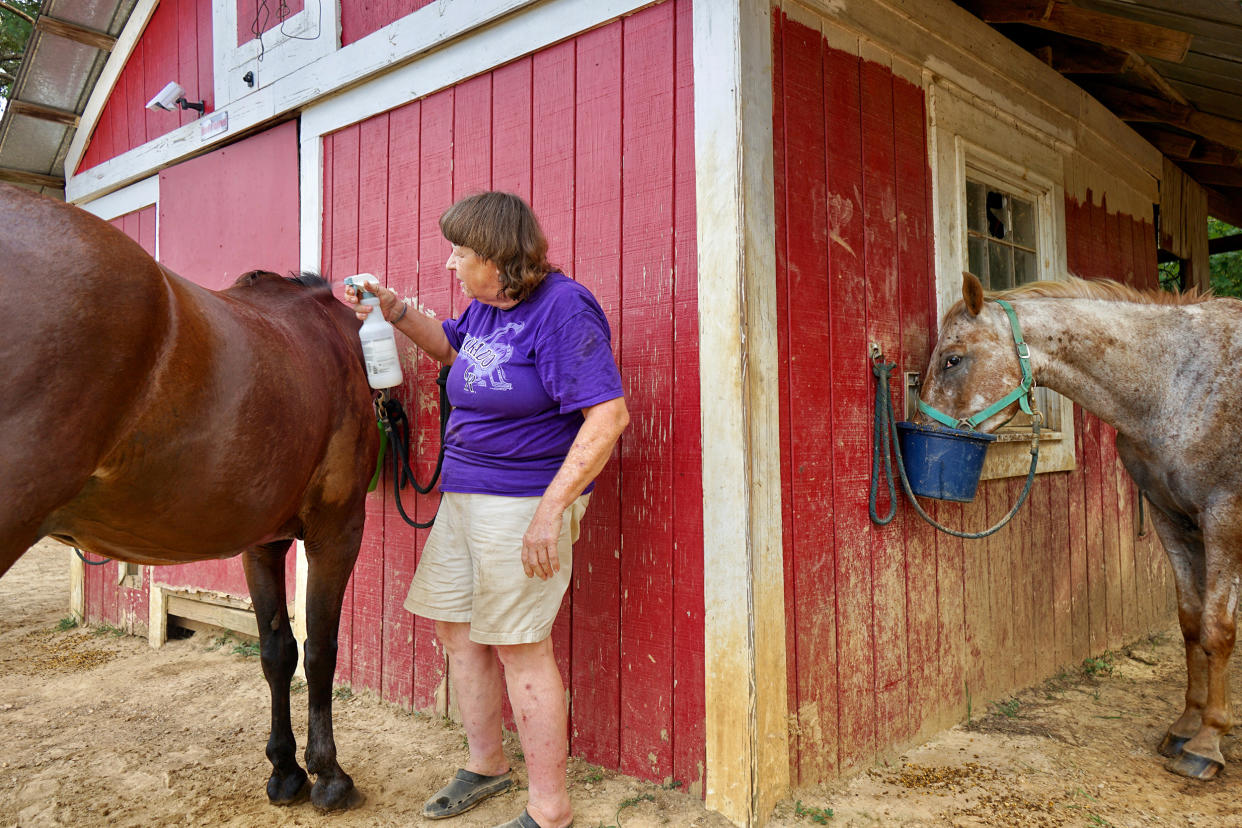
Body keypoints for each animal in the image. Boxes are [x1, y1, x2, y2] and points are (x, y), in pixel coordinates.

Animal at [1, 182, 377, 809]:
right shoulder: (337, 530)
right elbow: (321, 649)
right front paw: (328, 774)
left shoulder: (263, 542)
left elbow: (277, 651)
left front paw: (286, 770)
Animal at [919, 270, 1237, 779]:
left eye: (953, 359)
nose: (920, 431)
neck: (1175, 384)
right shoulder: (1169, 516)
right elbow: (1190, 622)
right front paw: (1186, 726)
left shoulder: (1222, 516)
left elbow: (1217, 630)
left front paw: (1207, 743)